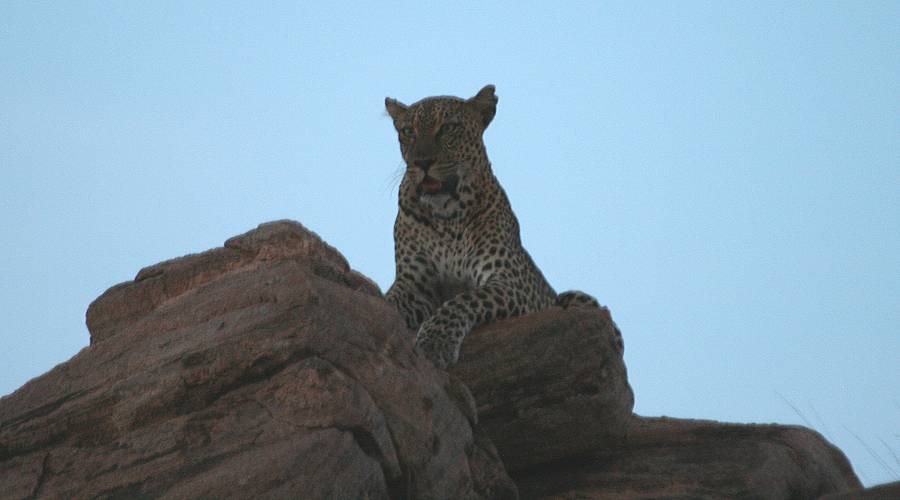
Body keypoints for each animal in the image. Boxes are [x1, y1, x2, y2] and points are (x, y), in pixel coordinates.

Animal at [384, 85, 616, 368]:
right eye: (408, 131)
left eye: (448, 128)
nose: (422, 162)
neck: (446, 215)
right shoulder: (413, 283)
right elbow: (389, 300)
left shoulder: (509, 281)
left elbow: (463, 299)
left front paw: (436, 341)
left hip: (583, 301)